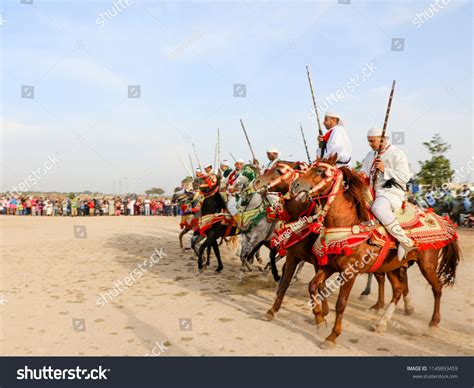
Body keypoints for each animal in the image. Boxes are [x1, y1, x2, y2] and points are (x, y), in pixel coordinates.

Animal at [290, 156, 462, 350]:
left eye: (320, 171)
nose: (295, 185)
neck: (347, 223)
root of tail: (440, 218)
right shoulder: (330, 266)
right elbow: (312, 286)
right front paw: (319, 319)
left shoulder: (349, 272)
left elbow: (341, 304)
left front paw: (332, 337)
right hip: (393, 266)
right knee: (398, 290)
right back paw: (382, 323)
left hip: (427, 265)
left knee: (437, 288)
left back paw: (433, 323)